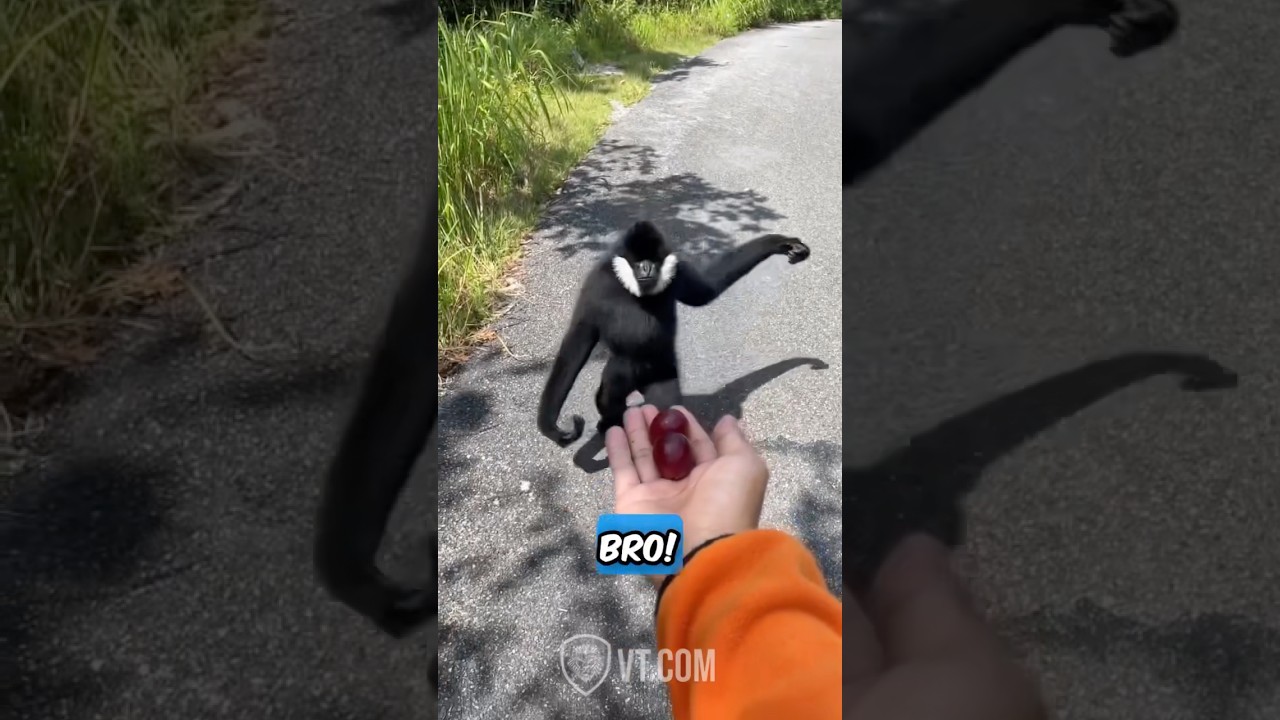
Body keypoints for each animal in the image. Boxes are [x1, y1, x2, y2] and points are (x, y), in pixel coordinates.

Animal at [538, 221, 810, 446]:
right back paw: (611, 420)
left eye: (653, 260)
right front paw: (552, 427)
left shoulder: (678, 271)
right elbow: (578, 340)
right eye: (638, 261)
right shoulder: (596, 282)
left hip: (664, 368)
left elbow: (707, 291)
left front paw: (780, 243)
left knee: (662, 400)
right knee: (615, 378)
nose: (646, 268)